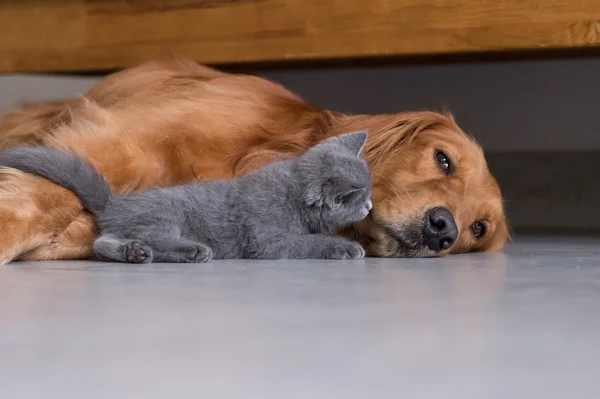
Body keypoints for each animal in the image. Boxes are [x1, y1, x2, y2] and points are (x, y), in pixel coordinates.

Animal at [0, 131, 370, 262]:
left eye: (369, 191)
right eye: (359, 196)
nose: (369, 205)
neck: (293, 194)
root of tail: (115, 201)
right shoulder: (269, 240)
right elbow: (306, 243)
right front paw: (346, 247)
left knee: (103, 240)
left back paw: (134, 253)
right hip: (169, 213)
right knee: (146, 236)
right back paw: (191, 251)